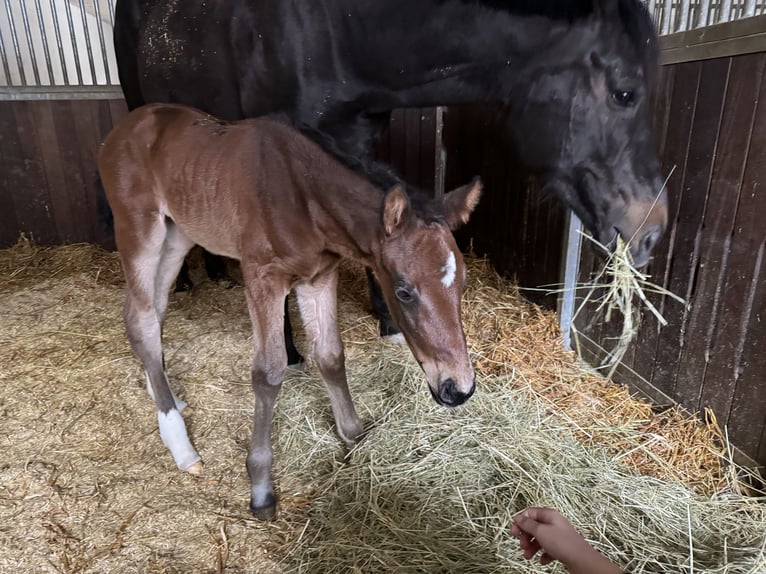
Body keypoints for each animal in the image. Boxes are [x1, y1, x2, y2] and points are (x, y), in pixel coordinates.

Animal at [96, 103, 480, 520]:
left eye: (461, 283)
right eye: (404, 291)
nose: (458, 389)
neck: (303, 196)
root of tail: (126, 125)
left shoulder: (319, 276)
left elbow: (330, 355)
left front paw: (354, 436)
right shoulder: (263, 277)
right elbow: (269, 372)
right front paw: (261, 486)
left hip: (178, 234)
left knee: (155, 309)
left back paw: (163, 394)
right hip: (139, 229)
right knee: (140, 318)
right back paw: (180, 443)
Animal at [115, 0, 672, 356]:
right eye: (624, 92)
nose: (653, 229)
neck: (336, 28)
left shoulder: (358, 140)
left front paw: (390, 322)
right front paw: (289, 349)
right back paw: (188, 280)